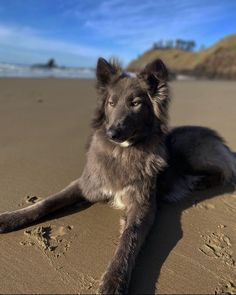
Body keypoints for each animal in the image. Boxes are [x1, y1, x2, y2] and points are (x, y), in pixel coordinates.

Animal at [0, 57, 236, 294]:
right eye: (111, 103)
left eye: (135, 103)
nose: (112, 133)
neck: (122, 151)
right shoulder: (86, 184)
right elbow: (47, 202)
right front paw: (10, 218)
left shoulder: (144, 205)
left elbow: (129, 239)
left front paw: (114, 280)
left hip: (189, 150)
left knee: (224, 172)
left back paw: (199, 181)